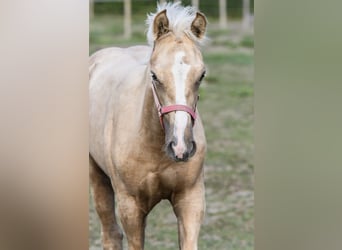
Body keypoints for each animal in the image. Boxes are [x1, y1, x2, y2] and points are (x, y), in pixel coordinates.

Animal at [89, 2, 207, 249]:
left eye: (201, 75)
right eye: (154, 75)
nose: (180, 147)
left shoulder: (190, 199)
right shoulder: (130, 206)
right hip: (96, 175)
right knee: (110, 234)